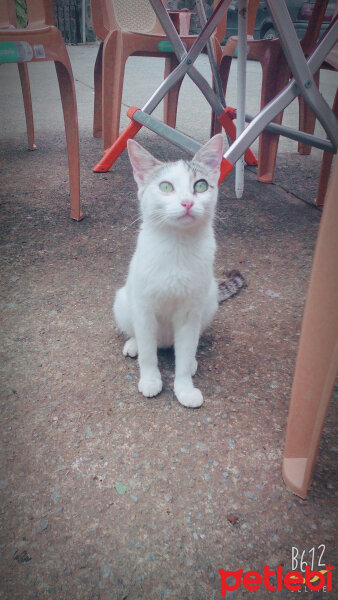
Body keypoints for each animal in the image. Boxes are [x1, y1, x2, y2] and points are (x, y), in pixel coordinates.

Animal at [113, 135, 224, 408]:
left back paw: (191, 360)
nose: (187, 202)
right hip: (123, 301)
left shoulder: (189, 313)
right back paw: (134, 345)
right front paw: (150, 380)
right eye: (165, 187)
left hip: (210, 299)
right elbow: (148, 355)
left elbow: (182, 357)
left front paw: (184, 389)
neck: (177, 245)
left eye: (200, 185)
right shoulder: (143, 309)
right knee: (141, 338)